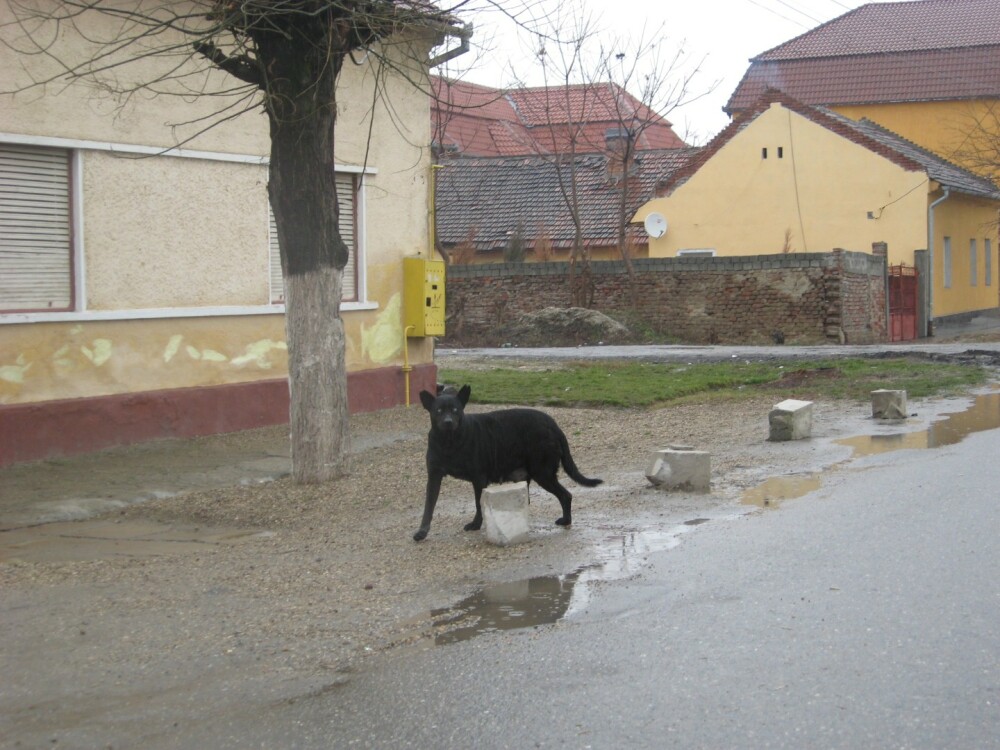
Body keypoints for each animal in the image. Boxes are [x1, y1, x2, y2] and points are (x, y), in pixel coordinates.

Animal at [408, 388, 596, 540]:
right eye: (438, 411)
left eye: (455, 410)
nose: (448, 422)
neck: (449, 443)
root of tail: (554, 426)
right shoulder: (434, 476)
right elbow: (428, 507)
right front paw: (421, 532)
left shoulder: (479, 479)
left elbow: (478, 504)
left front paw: (475, 525)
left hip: (543, 473)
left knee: (566, 495)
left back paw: (566, 521)